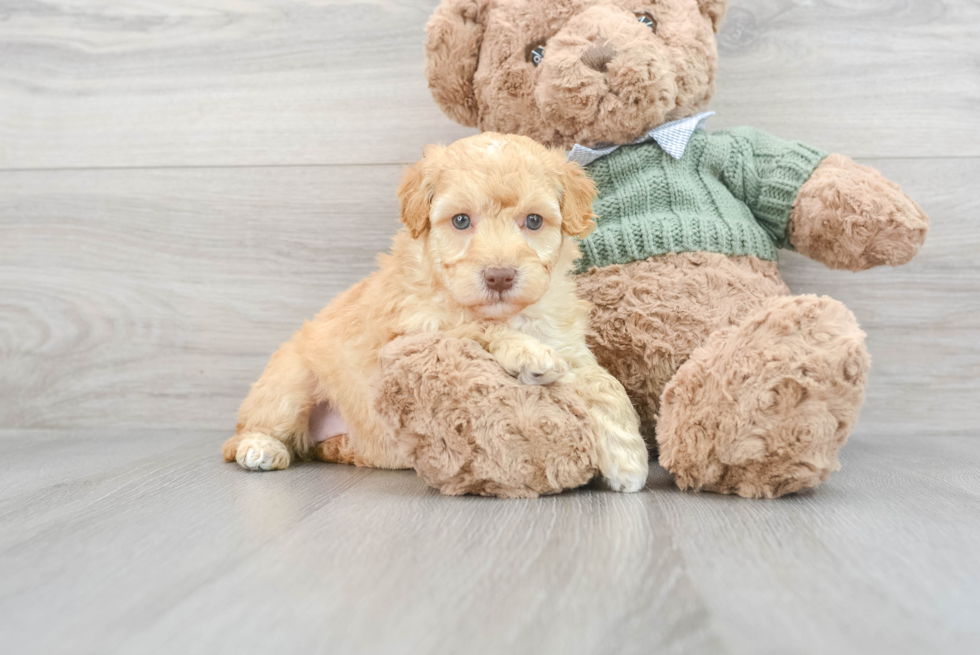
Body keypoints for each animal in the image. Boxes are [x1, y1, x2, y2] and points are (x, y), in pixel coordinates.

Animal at [222, 132, 652, 492]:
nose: (499, 276)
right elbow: (473, 328)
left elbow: (605, 383)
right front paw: (526, 351)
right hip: (289, 381)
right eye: (461, 220)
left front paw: (628, 458)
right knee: (251, 428)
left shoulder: (568, 344)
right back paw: (261, 448)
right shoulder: (411, 331)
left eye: (533, 221)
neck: (504, 312)